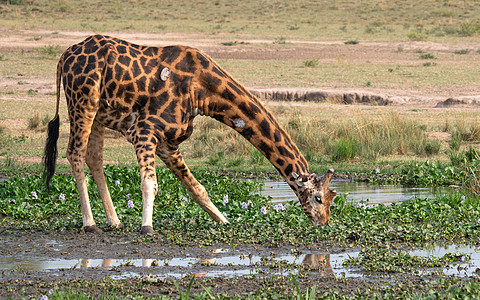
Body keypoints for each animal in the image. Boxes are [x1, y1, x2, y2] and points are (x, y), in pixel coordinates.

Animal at [44, 34, 338, 233]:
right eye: (318, 197)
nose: (323, 222)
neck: (202, 91)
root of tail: (64, 56)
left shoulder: (169, 143)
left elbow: (197, 188)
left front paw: (224, 220)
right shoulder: (144, 131)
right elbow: (150, 183)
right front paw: (147, 227)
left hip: (99, 113)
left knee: (94, 158)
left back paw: (114, 221)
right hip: (82, 101)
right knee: (75, 153)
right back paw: (90, 223)